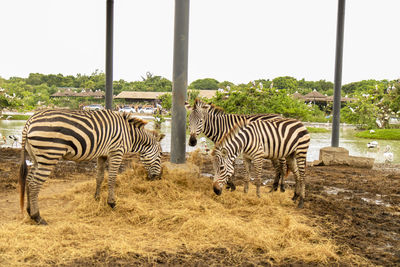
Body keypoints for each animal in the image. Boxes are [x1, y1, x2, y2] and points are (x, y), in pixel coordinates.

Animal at [18, 110, 166, 225]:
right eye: (160, 155)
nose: (159, 177)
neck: (129, 135)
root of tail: (29, 121)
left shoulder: (103, 155)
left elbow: (99, 176)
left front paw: (96, 198)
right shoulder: (116, 152)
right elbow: (112, 178)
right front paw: (112, 203)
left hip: (36, 158)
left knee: (29, 180)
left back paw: (29, 211)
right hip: (49, 156)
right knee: (34, 184)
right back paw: (37, 217)